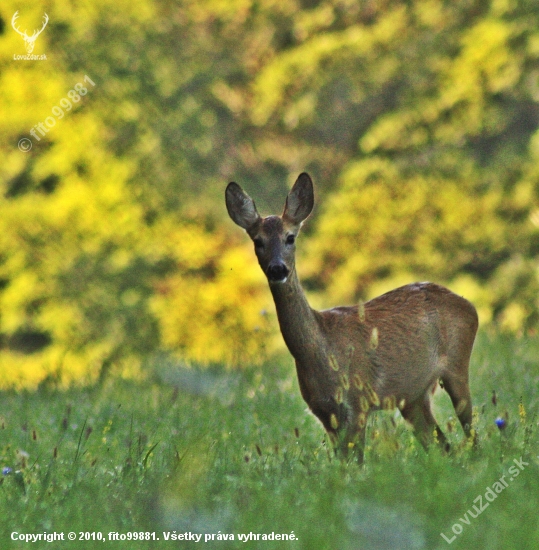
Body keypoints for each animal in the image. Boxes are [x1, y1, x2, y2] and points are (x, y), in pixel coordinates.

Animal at [226, 175, 478, 464]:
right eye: (258, 241)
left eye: (290, 237)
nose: (278, 269)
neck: (323, 351)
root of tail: (469, 305)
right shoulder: (325, 412)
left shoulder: (358, 402)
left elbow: (357, 463)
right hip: (413, 395)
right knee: (443, 444)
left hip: (457, 364)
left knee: (472, 434)